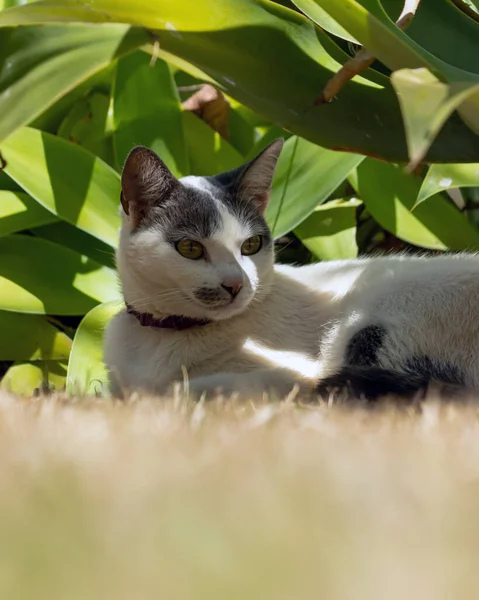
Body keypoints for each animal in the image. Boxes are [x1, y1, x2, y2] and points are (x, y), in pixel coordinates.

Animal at [103, 141, 479, 404]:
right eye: (191, 248)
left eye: (251, 245)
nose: (236, 284)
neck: (163, 334)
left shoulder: (292, 373)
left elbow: (183, 390)